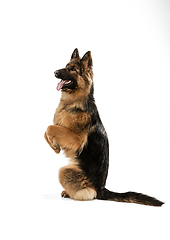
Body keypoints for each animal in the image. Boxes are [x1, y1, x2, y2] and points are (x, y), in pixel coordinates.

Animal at [44, 48, 164, 206]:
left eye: (73, 69)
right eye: (66, 66)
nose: (55, 72)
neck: (74, 101)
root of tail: (101, 188)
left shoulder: (76, 139)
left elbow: (49, 128)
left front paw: (55, 145)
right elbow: (47, 131)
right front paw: (55, 147)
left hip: (65, 171)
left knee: (88, 194)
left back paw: (71, 193)